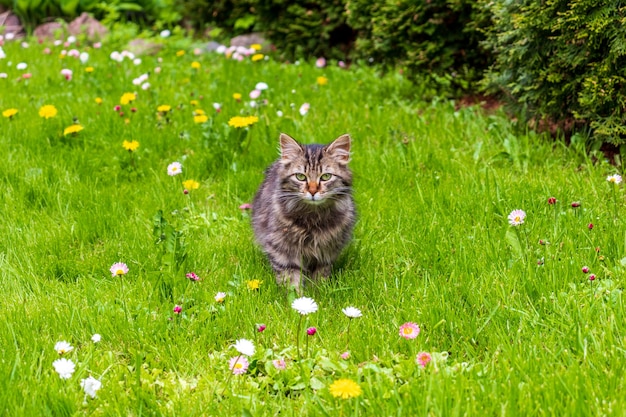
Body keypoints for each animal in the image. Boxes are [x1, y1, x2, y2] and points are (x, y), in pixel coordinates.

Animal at [250, 133, 356, 290]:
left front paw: (318, 292)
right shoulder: (282, 250)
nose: (312, 191)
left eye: (326, 176)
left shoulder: (325, 253)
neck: (312, 217)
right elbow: (291, 281)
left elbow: (319, 279)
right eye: (300, 177)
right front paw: (296, 296)